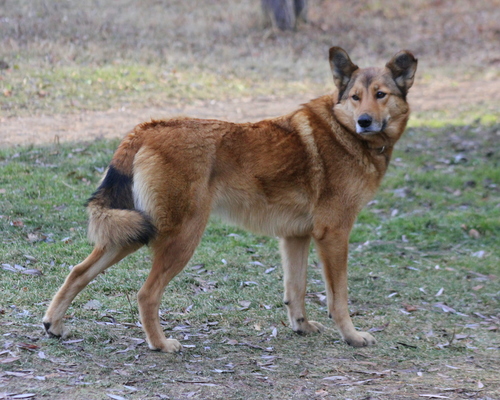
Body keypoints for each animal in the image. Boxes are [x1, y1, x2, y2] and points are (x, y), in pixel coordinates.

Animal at [44, 47, 418, 354]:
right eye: (355, 97)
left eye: (380, 95)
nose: (364, 121)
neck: (345, 134)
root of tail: (147, 127)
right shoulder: (334, 235)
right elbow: (338, 298)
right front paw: (352, 336)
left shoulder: (296, 237)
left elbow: (295, 290)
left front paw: (301, 327)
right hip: (178, 238)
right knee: (145, 294)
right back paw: (160, 344)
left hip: (132, 233)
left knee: (78, 272)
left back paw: (53, 325)